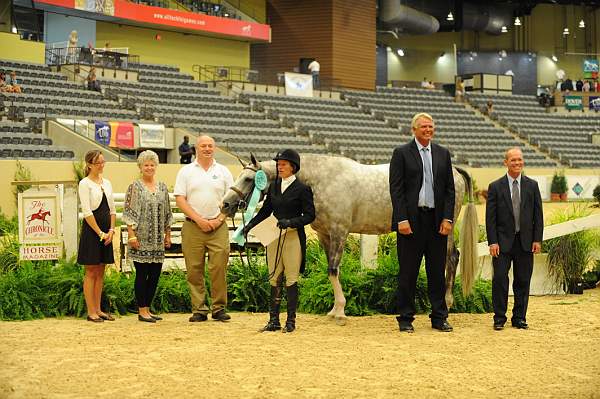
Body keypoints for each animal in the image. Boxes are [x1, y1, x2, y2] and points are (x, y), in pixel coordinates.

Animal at [221, 153, 478, 324]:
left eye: (248, 179)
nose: (225, 205)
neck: (321, 180)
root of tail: (455, 171)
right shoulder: (325, 234)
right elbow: (330, 270)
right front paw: (335, 309)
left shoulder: (339, 231)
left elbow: (333, 270)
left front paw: (341, 311)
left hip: (443, 230)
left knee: (451, 259)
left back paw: (447, 304)